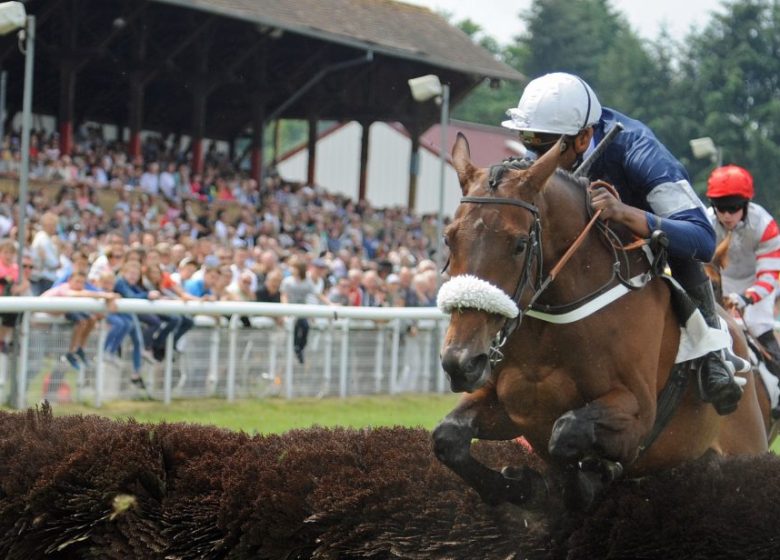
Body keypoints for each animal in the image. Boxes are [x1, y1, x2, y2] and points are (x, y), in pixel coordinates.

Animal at [432, 133, 768, 510]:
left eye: (519, 244)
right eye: (448, 238)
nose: (461, 361)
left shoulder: (638, 414)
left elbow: (564, 433)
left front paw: (584, 477)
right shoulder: (511, 405)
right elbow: (448, 436)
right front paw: (521, 485)